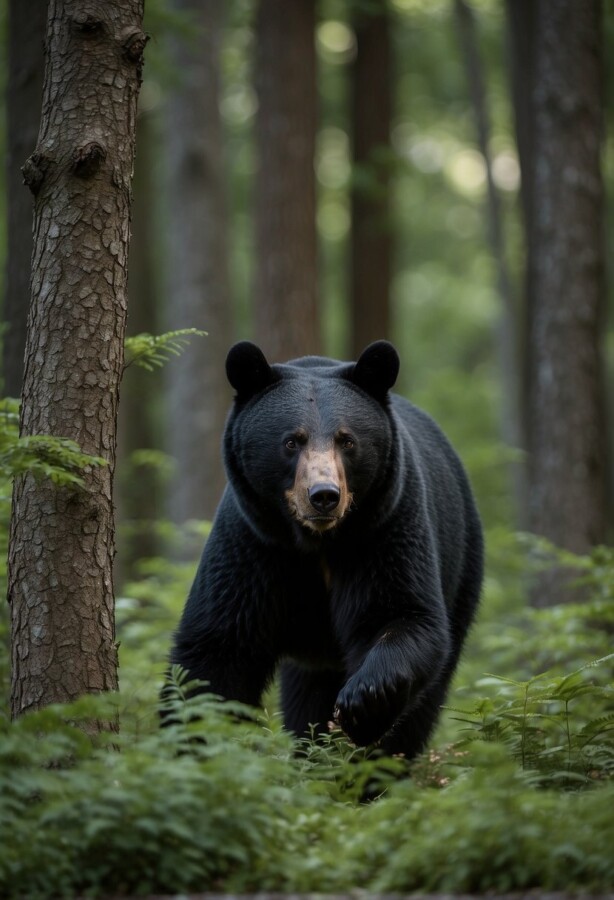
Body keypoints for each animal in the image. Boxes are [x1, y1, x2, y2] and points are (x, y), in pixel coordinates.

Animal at [170, 340, 486, 760]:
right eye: (292, 440)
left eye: (346, 440)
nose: (323, 496)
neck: (315, 542)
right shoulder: (252, 544)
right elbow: (216, 651)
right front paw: (189, 745)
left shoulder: (386, 529)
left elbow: (402, 615)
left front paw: (364, 702)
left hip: (462, 564)